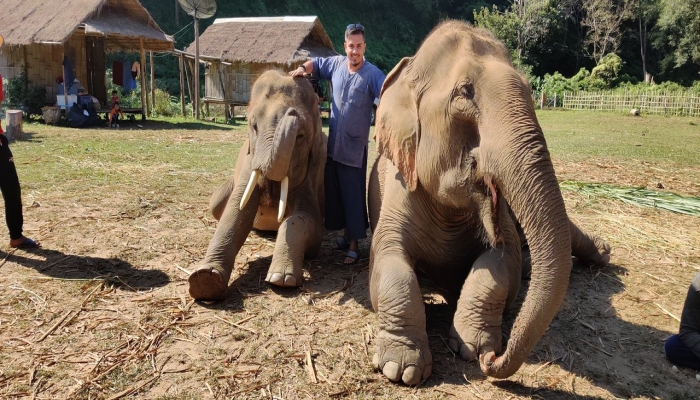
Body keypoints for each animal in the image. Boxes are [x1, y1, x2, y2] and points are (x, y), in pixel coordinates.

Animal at [187, 69, 326, 300]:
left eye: (301, 136)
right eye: (254, 126)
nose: (292, 113)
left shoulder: (315, 168)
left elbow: (307, 220)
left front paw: (281, 279)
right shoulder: (248, 160)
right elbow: (236, 211)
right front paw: (205, 280)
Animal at [366, 21, 612, 384]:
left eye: (530, 91)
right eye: (465, 92)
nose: (492, 360)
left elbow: (501, 261)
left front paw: (474, 348)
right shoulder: (399, 190)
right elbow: (389, 262)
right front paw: (403, 369)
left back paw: (602, 253)